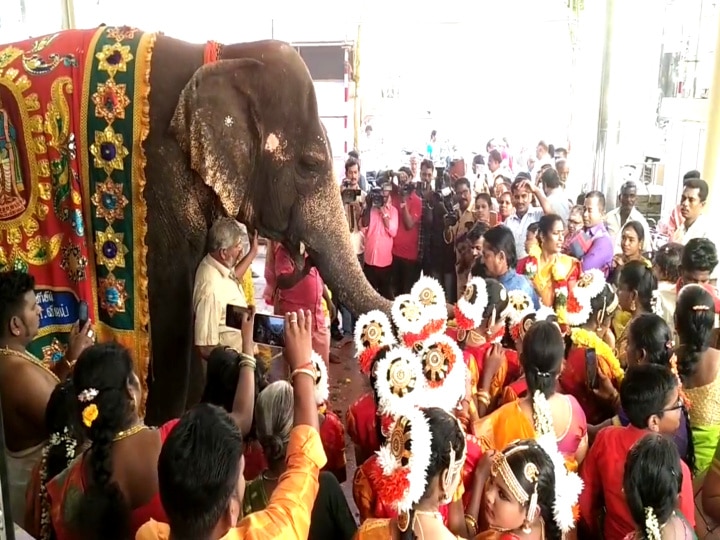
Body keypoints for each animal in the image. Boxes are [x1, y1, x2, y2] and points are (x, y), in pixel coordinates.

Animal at [0, 28, 390, 426]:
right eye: (311, 164)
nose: (302, 258)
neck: (226, 58)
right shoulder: (155, 185)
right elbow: (172, 308)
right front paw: (165, 421)